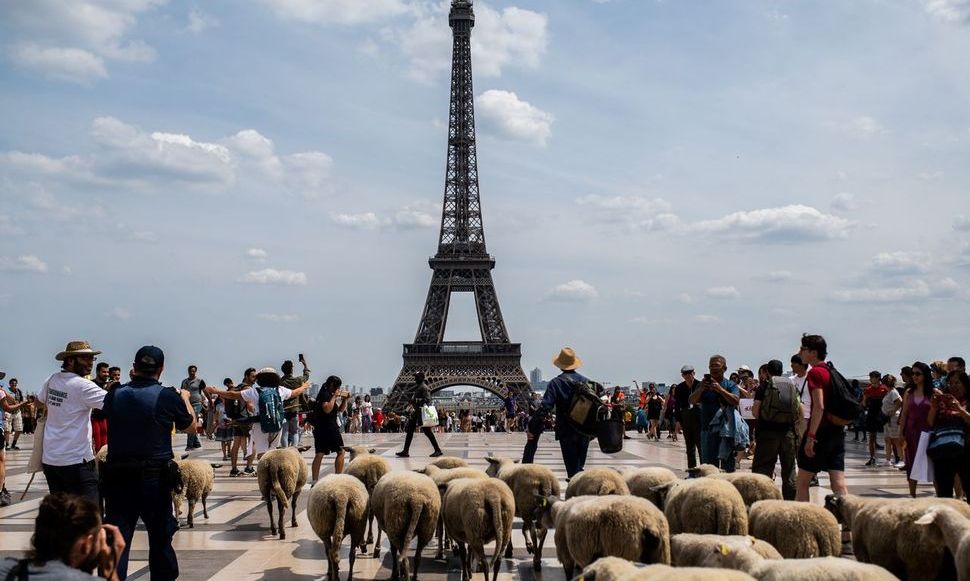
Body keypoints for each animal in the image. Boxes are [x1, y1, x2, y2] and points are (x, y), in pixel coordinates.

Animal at [532, 492, 668, 576]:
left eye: (539, 509)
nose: (535, 524)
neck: (557, 512)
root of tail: (648, 522)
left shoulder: (566, 553)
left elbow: (569, 575)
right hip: (660, 555)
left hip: (620, 549)